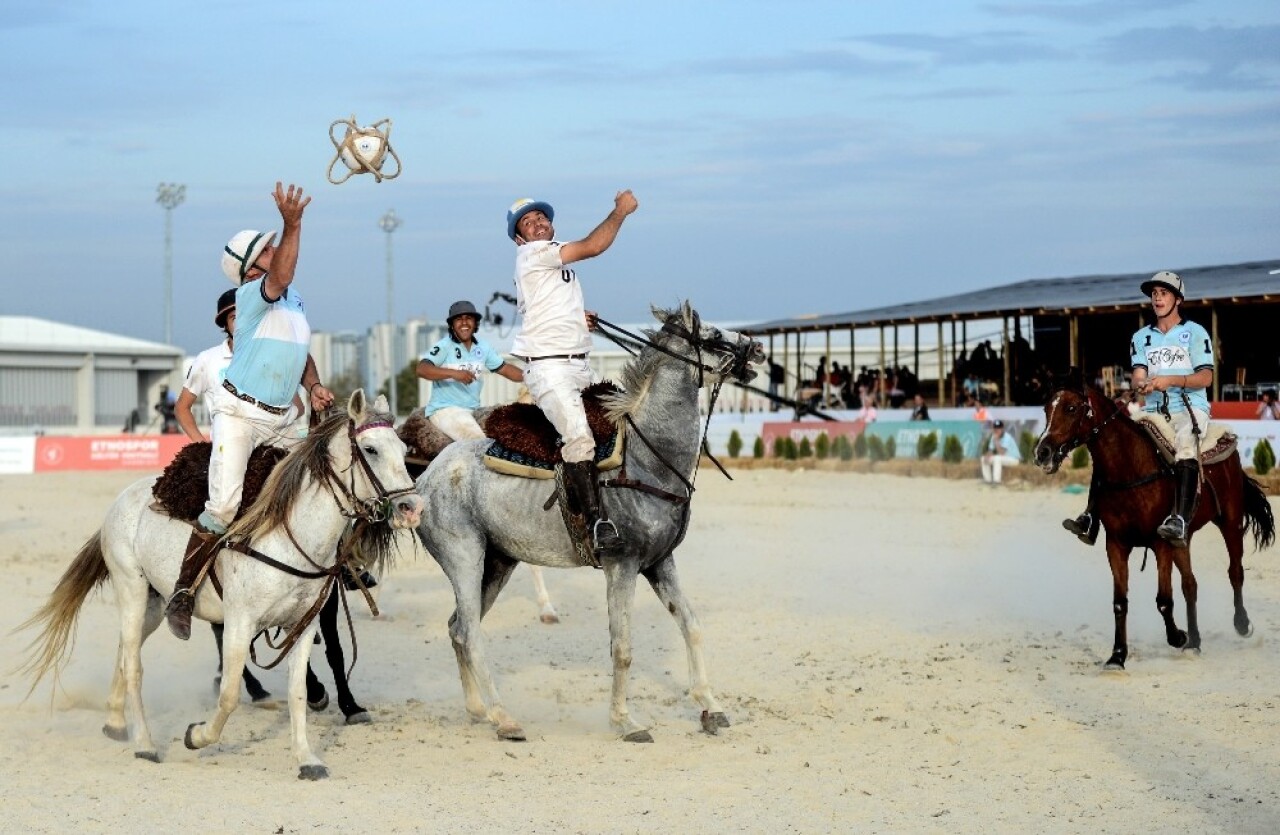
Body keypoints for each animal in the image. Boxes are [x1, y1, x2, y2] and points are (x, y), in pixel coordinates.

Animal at [16, 389, 424, 778]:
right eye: (370, 450)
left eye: (405, 450)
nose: (413, 509)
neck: (290, 535)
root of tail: (125, 496)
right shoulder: (239, 623)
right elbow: (228, 693)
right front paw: (196, 736)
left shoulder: (304, 626)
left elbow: (298, 691)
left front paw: (308, 760)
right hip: (130, 587)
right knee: (134, 666)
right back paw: (145, 743)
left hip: (154, 603)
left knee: (124, 651)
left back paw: (115, 722)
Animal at [414, 302, 762, 742]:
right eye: (714, 335)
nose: (758, 350)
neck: (647, 459)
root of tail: (424, 480)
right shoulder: (622, 565)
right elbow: (622, 647)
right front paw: (625, 721)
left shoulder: (659, 562)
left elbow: (691, 625)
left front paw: (710, 706)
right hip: (465, 560)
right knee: (471, 633)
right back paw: (504, 718)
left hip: (498, 563)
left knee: (459, 627)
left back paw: (479, 709)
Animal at [1034, 379, 1274, 671]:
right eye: (1046, 409)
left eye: (1071, 408)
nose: (1042, 453)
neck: (1131, 469)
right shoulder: (1116, 545)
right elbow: (1120, 602)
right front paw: (1117, 655)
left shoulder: (1160, 544)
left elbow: (1163, 600)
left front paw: (1177, 636)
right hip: (1182, 538)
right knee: (1190, 584)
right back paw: (1195, 641)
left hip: (1229, 520)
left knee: (1235, 571)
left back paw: (1241, 624)